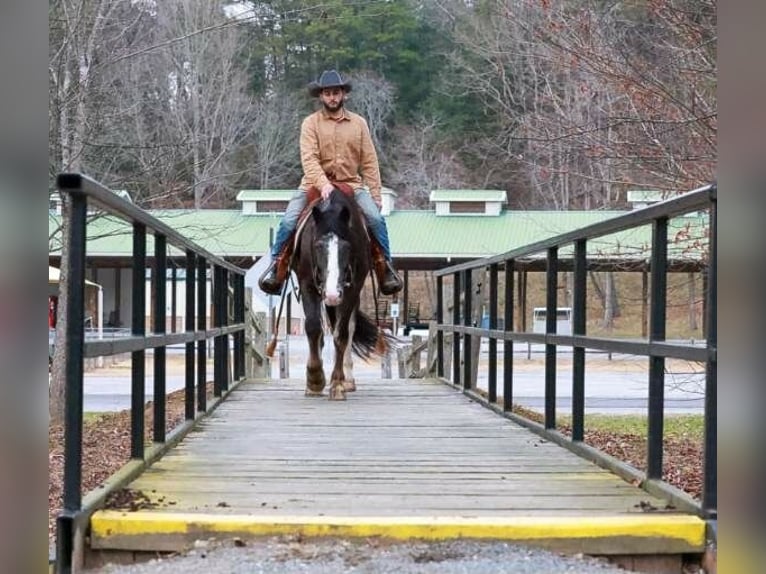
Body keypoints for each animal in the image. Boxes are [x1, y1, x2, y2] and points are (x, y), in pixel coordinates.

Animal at [292, 187, 391, 400]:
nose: (332, 294)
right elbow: (313, 328)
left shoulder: (351, 290)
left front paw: (337, 384)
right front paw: (314, 379)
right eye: (318, 246)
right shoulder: (307, 285)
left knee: (348, 329)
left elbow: (342, 334)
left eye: (346, 247)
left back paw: (348, 380)